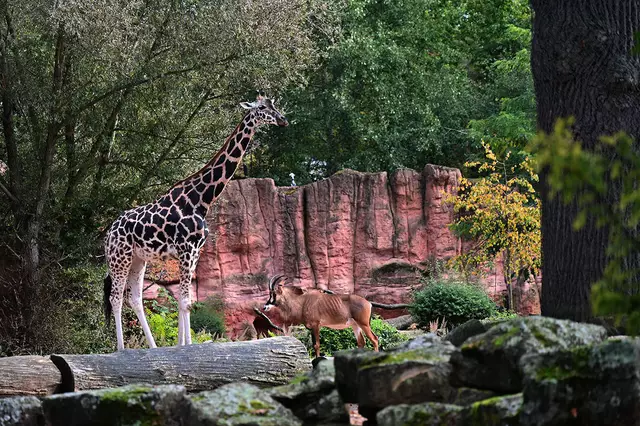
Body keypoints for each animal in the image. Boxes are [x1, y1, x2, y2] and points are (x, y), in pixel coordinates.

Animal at [103, 93, 288, 350]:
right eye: (261, 107)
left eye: (274, 105)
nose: (282, 120)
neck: (202, 199)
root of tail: (108, 233)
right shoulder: (186, 249)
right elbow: (184, 301)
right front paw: (188, 346)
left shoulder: (195, 251)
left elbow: (185, 300)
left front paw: (182, 346)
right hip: (119, 258)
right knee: (115, 297)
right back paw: (121, 350)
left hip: (139, 259)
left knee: (135, 298)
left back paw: (153, 348)